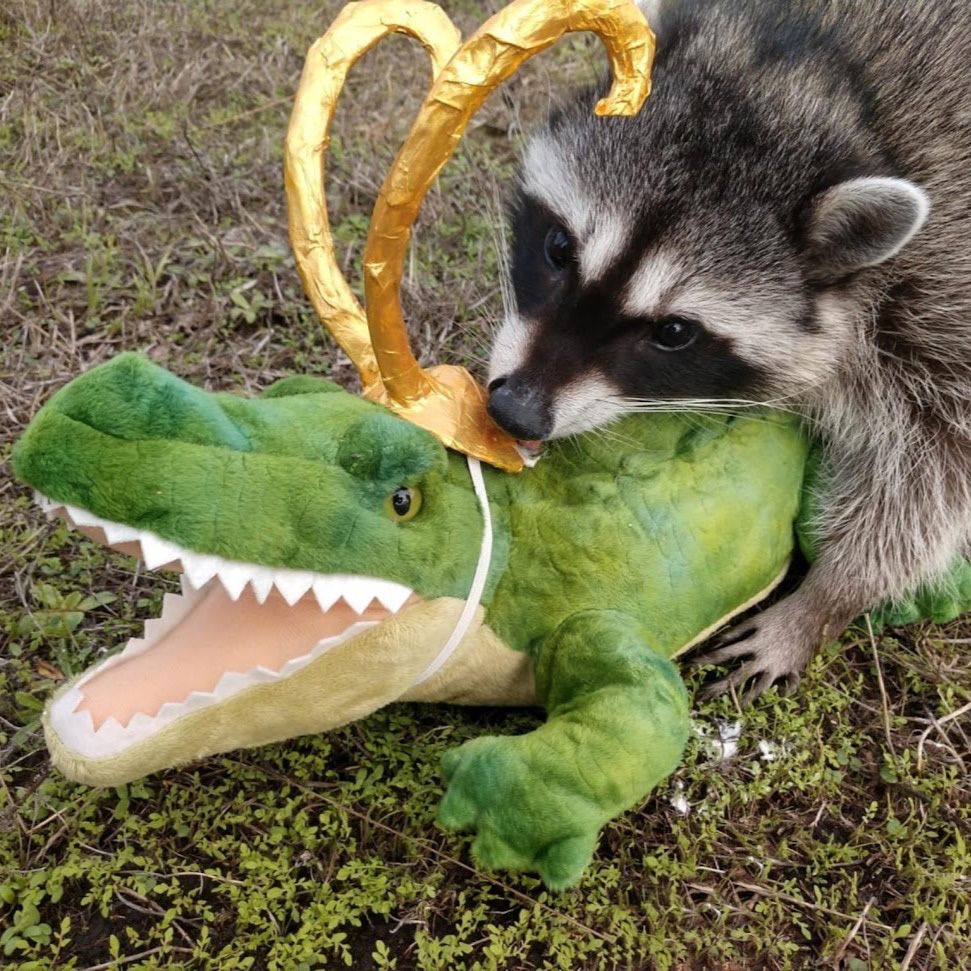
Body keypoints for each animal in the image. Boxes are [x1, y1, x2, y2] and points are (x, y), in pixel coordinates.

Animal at [486, 0, 971, 699]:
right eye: (558, 249)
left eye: (673, 332)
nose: (514, 411)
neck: (819, 82)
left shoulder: (944, 284)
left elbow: (934, 470)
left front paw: (829, 596)